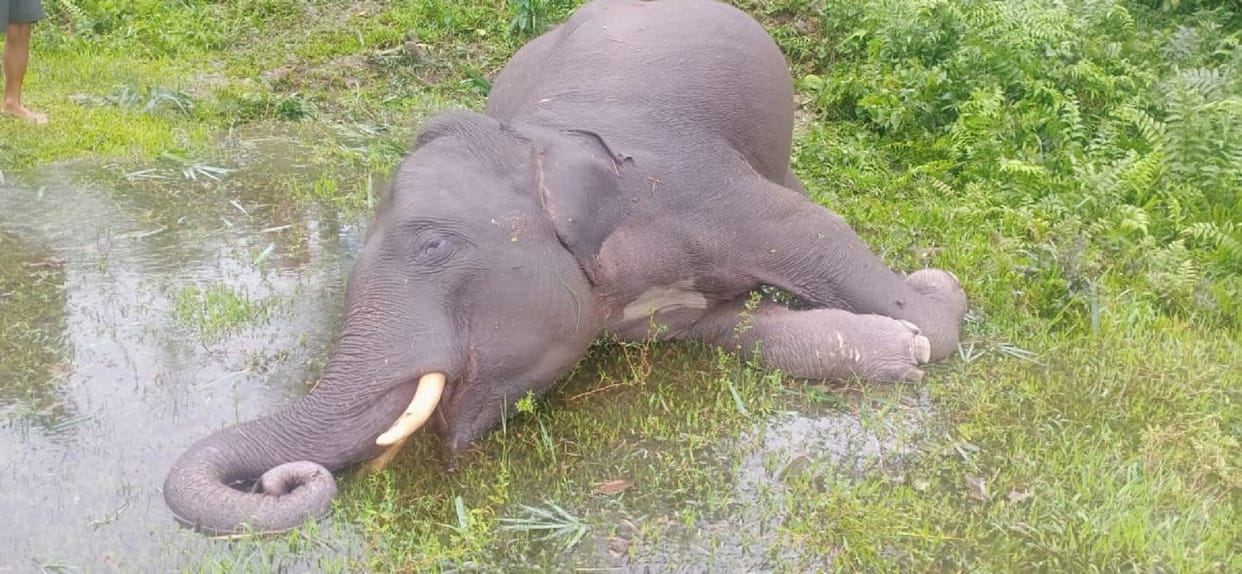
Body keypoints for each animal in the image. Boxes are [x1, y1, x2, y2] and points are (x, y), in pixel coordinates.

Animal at [162, 0, 968, 535]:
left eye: (432, 246)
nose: (280, 480)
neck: (538, 142)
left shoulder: (700, 185)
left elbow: (816, 234)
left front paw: (934, 305)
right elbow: (728, 327)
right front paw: (898, 349)